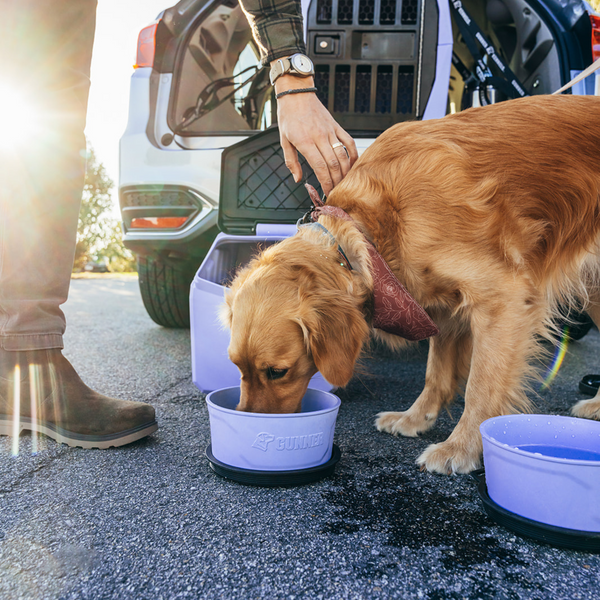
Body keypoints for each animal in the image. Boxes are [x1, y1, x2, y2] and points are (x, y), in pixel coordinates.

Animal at [219, 95, 600, 474]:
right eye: (236, 366)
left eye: (277, 372)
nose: (249, 427)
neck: (375, 229)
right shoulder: (444, 308)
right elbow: (436, 373)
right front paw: (416, 419)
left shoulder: (503, 299)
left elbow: (480, 385)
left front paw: (460, 448)